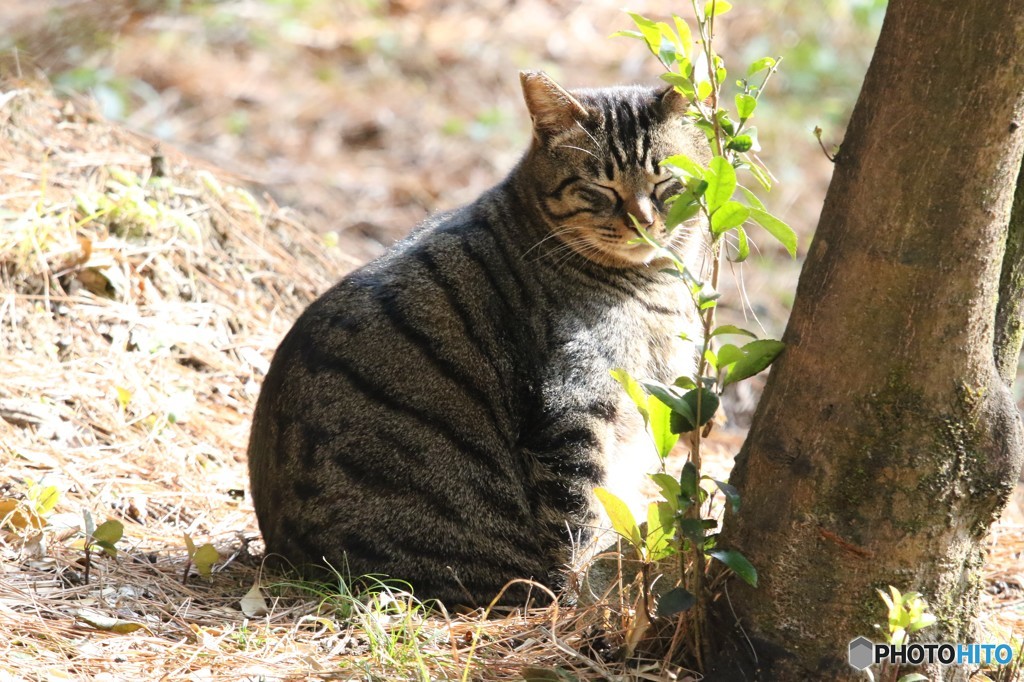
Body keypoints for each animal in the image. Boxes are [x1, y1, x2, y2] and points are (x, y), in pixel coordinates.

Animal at [247, 71, 712, 606]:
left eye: (665, 182)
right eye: (599, 187)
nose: (643, 223)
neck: (650, 287)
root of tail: (281, 559)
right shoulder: (574, 406)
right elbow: (582, 520)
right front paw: (585, 597)